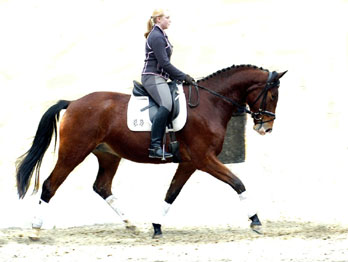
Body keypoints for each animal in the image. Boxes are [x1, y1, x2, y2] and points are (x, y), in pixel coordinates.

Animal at [15, 64, 286, 238]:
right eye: (273, 95)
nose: (266, 127)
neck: (210, 104)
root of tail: (73, 103)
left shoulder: (189, 163)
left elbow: (171, 193)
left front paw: (156, 226)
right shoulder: (204, 159)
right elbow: (237, 183)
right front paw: (256, 221)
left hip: (109, 155)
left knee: (102, 187)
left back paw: (131, 224)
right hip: (74, 153)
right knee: (50, 185)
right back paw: (36, 229)